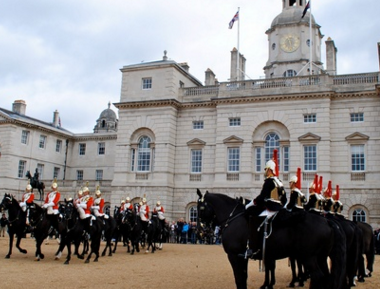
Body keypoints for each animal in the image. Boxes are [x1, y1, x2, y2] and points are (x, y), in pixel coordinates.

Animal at [196, 189, 348, 288]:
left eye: (200, 208)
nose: (201, 232)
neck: (233, 217)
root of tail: (327, 221)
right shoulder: (245, 256)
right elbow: (244, 277)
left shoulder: (234, 255)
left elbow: (239, 279)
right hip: (320, 257)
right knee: (327, 277)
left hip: (308, 257)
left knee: (318, 276)